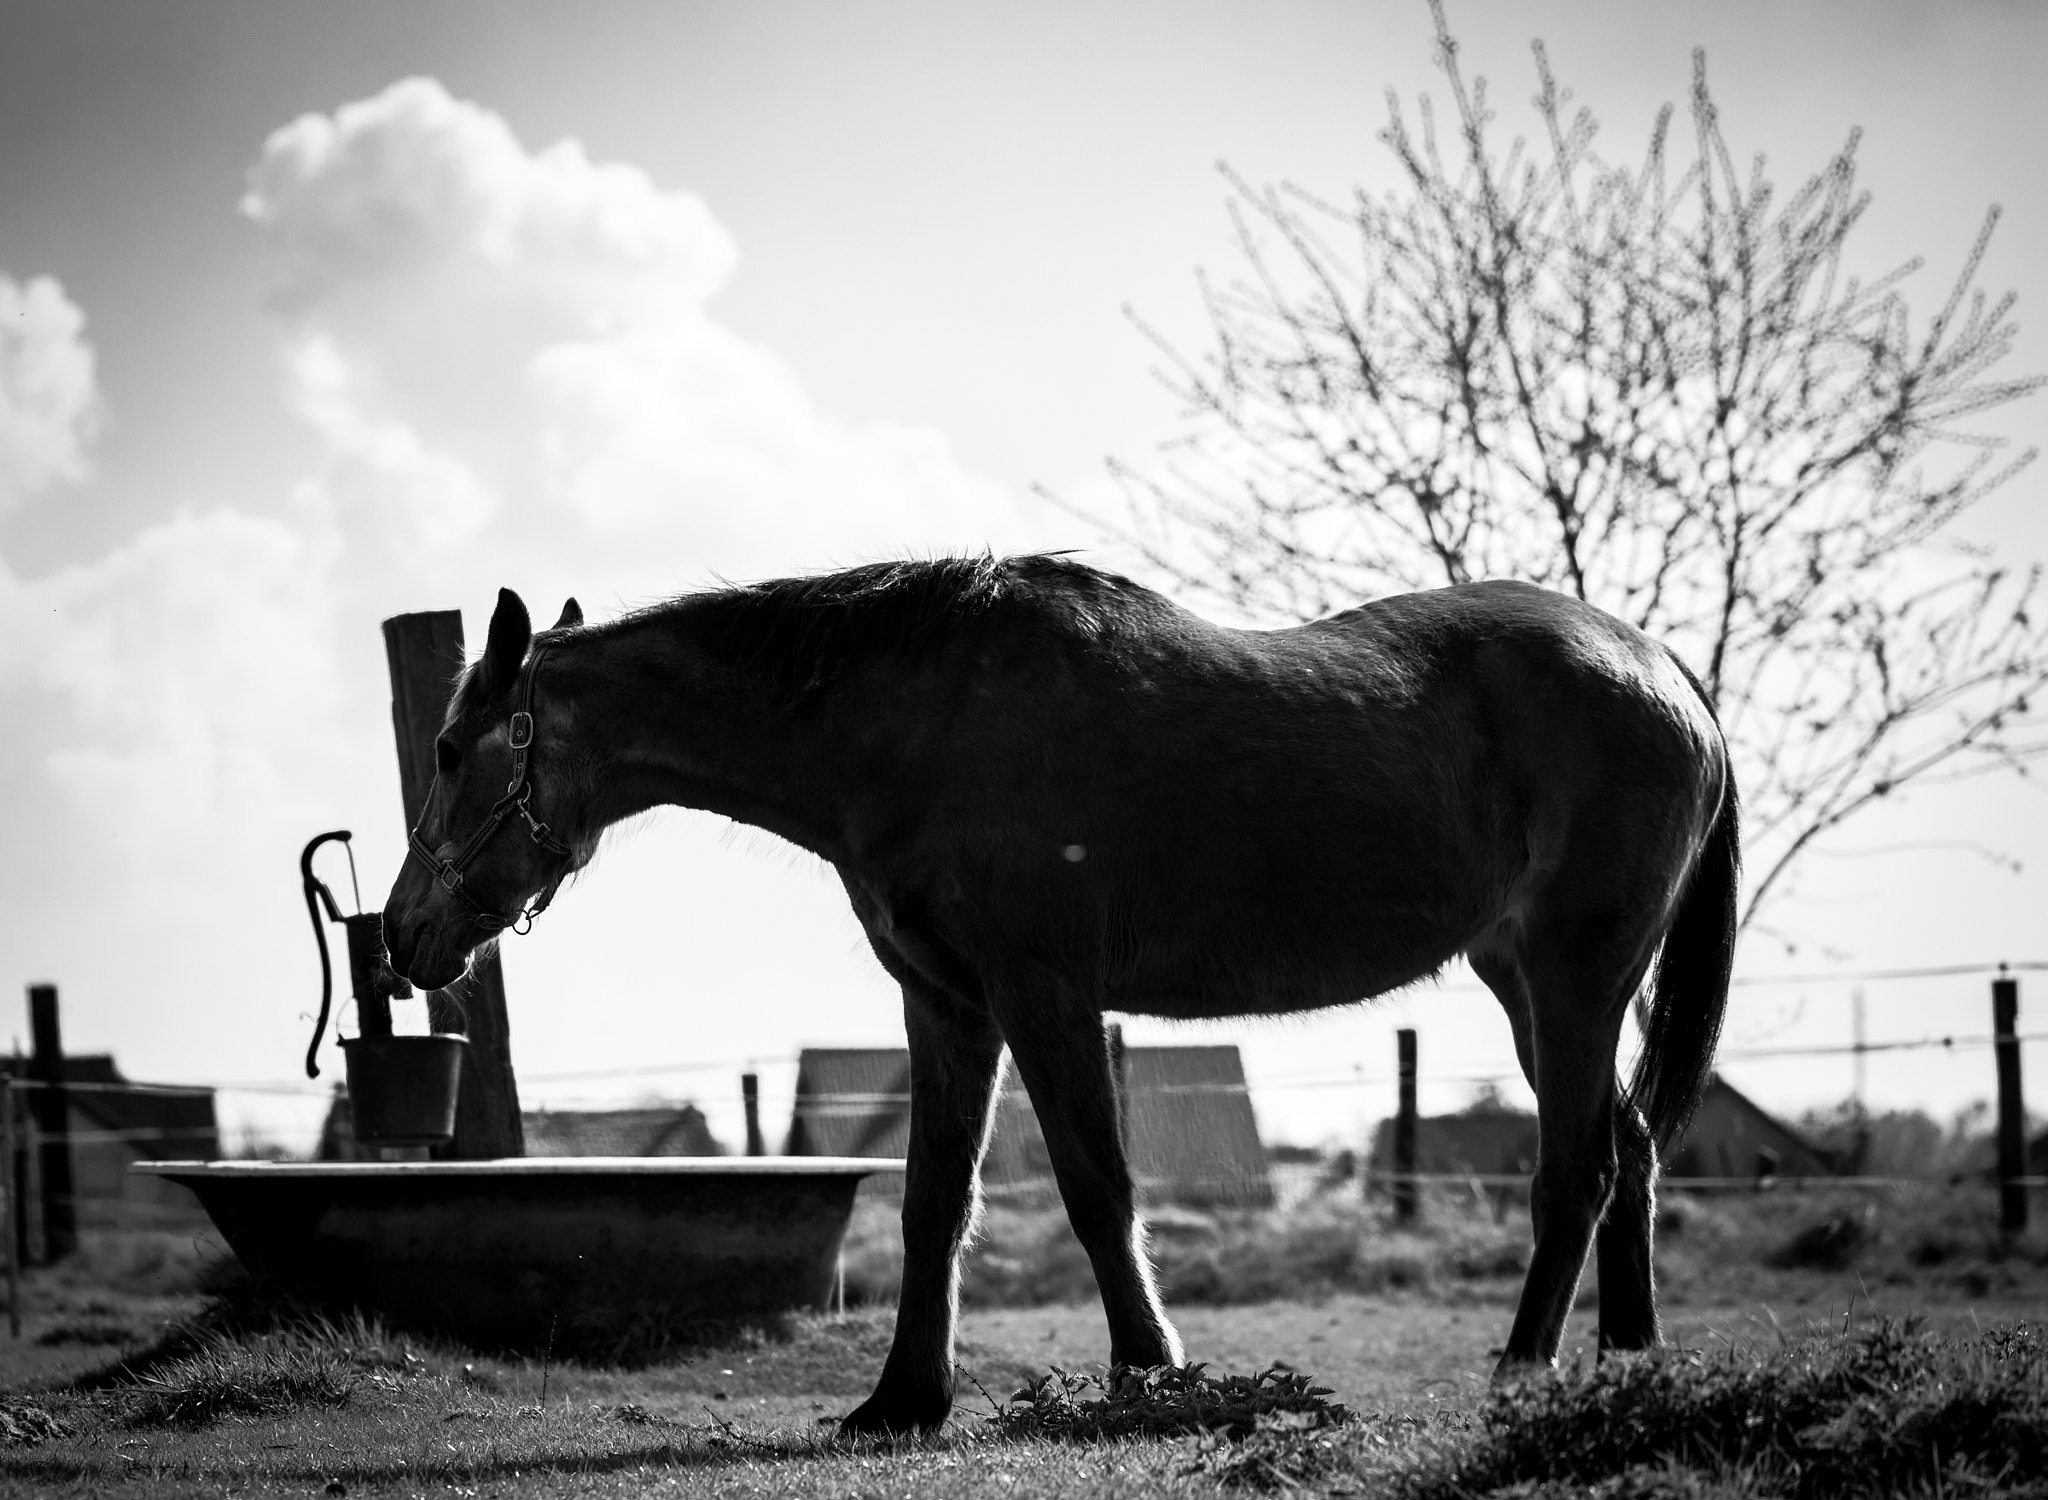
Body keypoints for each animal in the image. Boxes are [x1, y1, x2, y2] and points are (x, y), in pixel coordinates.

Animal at [380, 549, 1728, 1426]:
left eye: (447, 749)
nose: (401, 934)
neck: (916, 721)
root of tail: (1659, 666)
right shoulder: (947, 1005)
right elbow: (934, 1202)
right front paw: (900, 1402)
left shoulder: (1043, 995)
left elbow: (1095, 1187)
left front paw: (1149, 1374)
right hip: (1534, 983)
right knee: (1627, 1151)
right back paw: (1628, 1359)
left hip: (1572, 974)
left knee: (1577, 1170)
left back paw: (1524, 1366)